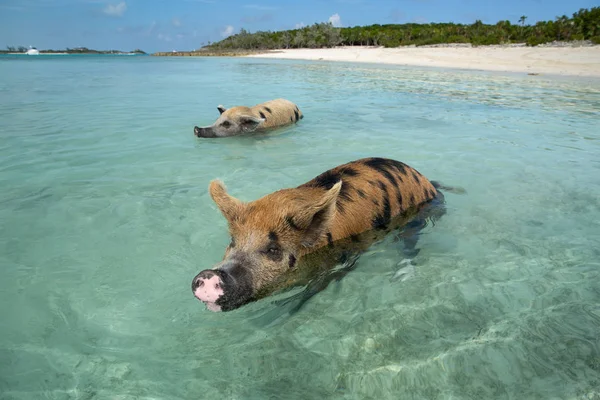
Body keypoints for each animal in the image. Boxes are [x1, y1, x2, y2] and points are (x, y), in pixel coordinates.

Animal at [192, 157, 460, 312]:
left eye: (273, 249)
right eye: (232, 241)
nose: (208, 274)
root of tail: (428, 183)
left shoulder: (340, 260)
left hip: (416, 219)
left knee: (410, 245)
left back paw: (402, 277)